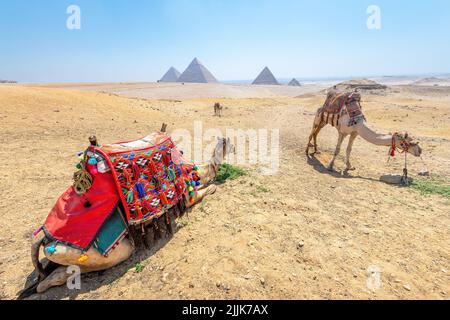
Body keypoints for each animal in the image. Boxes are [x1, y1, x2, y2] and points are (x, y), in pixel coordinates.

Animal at [27, 135, 236, 296]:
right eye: (229, 143)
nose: (232, 146)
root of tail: (44, 236)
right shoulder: (186, 196)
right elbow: (207, 190)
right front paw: (213, 187)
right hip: (98, 253)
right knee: (62, 275)